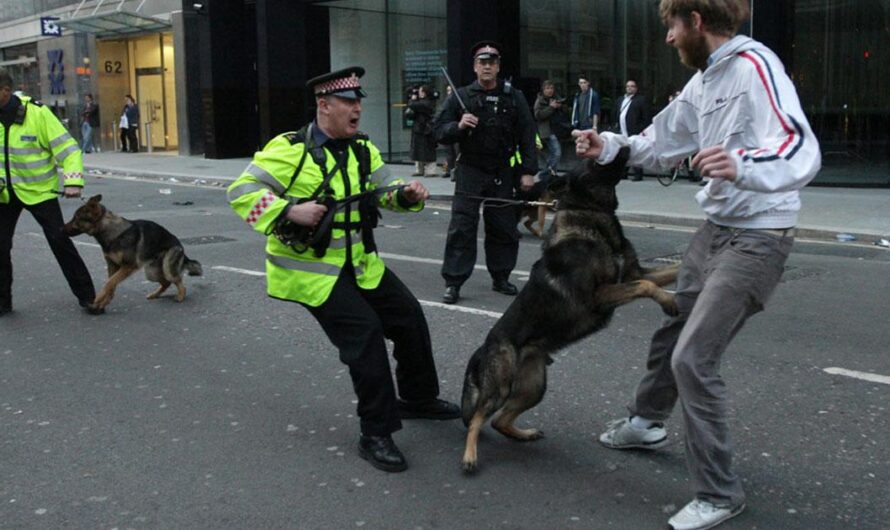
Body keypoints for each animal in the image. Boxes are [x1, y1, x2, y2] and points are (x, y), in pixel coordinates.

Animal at [63, 193, 202, 310]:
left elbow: (109, 282)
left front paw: (98, 298)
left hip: (167, 269)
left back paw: (180, 296)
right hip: (151, 273)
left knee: (178, 281)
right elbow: (111, 284)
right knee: (166, 283)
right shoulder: (113, 265)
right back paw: (155, 294)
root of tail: (179, 245)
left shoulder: (128, 266)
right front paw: (104, 302)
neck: (111, 231)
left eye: (76, 218)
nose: (60, 229)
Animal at [462, 147, 676, 470]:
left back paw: (522, 434)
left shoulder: (635, 272)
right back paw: (470, 456)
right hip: (500, 386)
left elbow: (668, 273)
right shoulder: (601, 294)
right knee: (477, 418)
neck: (591, 215)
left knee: (500, 420)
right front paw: (671, 302)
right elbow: (647, 287)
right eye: (591, 160)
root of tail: (482, 350)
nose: (626, 145)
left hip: (534, 386)